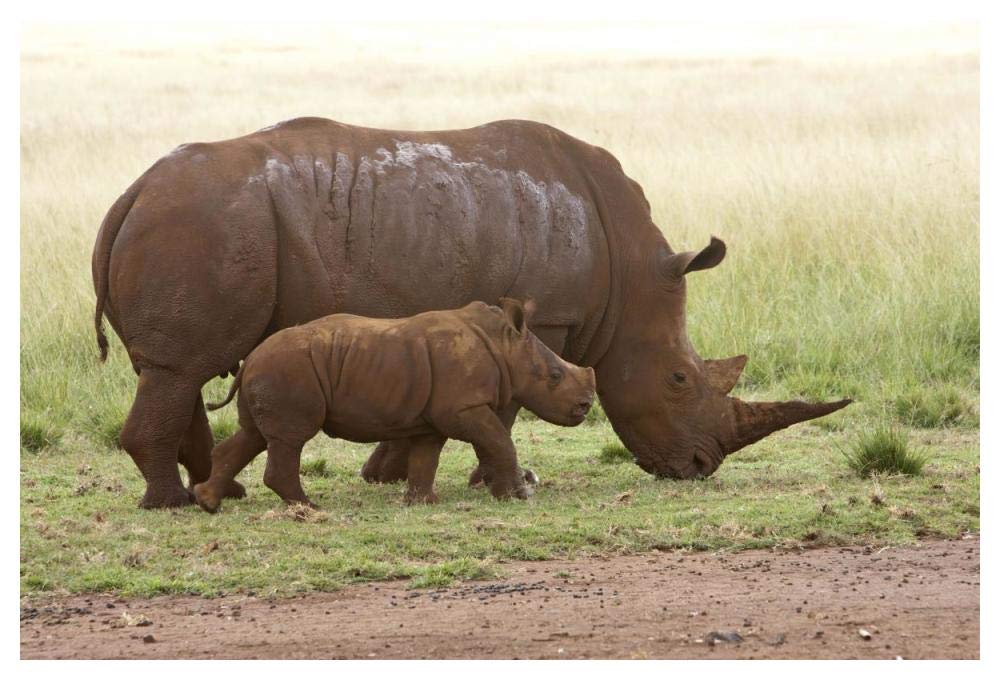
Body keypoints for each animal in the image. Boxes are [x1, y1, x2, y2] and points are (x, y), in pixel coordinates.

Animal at [193, 299, 596, 513]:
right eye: (555, 376)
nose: (585, 405)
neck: (504, 345)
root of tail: (249, 360)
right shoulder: (464, 408)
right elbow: (500, 441)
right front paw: (519, 496)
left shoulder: (435, 417)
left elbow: (426, 456)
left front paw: (423, 501)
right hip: (288, 369)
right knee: (288, 439)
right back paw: (309, 508)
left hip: (272, 370)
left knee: (253, 435)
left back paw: (208, 502)